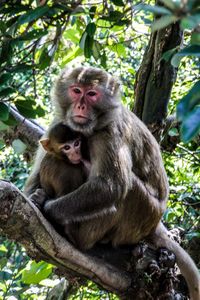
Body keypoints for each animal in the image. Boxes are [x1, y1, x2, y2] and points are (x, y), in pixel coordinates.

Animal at [24, 67, 200, 298]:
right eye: (76, 90)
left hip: (143, 214)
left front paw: (47, 208)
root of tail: (155, 224)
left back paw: (76, 236)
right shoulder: (58, 124)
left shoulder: (110, 132)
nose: (80, 105)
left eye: (92, 94)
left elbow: (110, 186)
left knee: (128, 187)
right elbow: (34, 179)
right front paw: (36, 196)